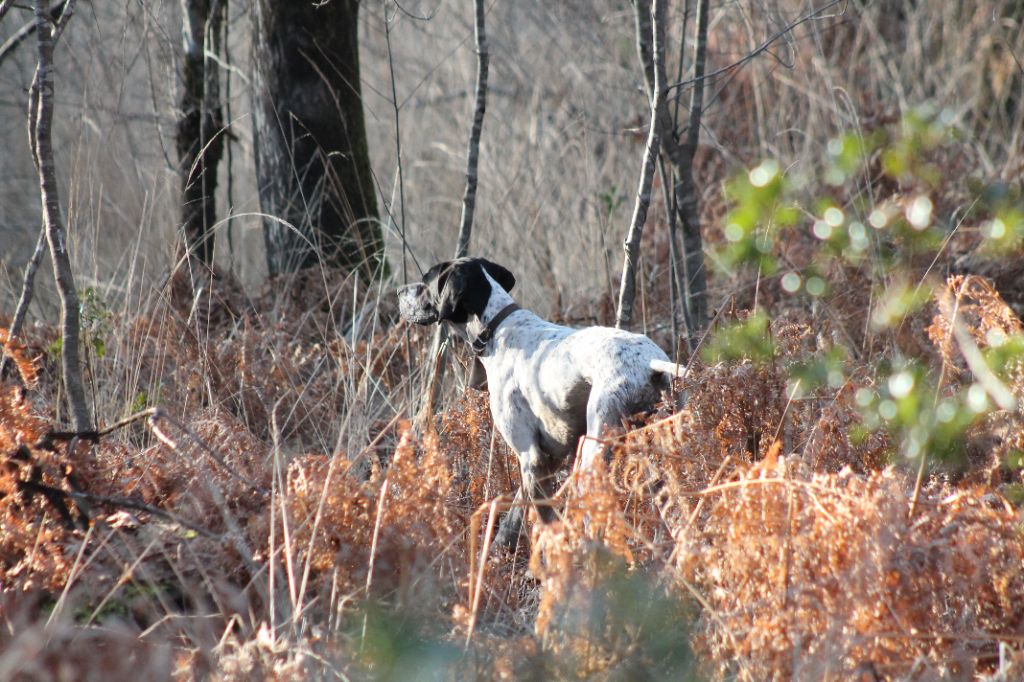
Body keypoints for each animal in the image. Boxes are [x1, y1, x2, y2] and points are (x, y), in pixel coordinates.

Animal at [395, 258, 684, 544]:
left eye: (426, 281)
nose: (398, 291)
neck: (496, 328)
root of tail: (650, 363)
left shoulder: (531, 457)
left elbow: (547, 522)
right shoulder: (546, 459)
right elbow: (516, 514)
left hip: (594, 451)